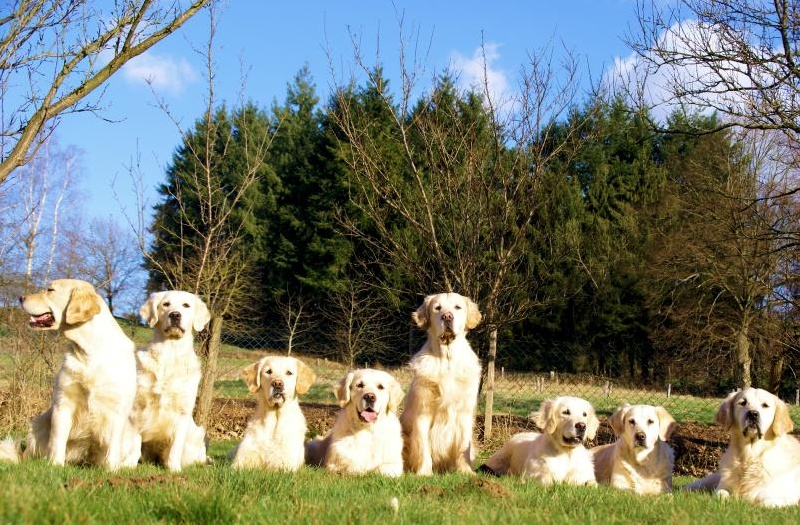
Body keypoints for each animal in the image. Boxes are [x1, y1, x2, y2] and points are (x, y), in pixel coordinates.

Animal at [18, 279, 140, 468]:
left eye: (50, 290)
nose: (20, 298)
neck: (90, 350)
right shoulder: (63, 402)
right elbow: (57, 440)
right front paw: (55, 466)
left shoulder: (117, 408)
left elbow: (113, 446)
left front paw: (111, 470)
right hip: (38, 422)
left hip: (135, 436)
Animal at [133, 290, 210, 471]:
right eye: (166, 304)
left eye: (186, 305)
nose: (175, 315)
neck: (170, 354)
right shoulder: (138, 406)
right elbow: (133, 442)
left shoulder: (182, 412)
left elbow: (175, 447)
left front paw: (174, 470)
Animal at [400, 292, 482, 475]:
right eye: (437, 308)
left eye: (458, 307)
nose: (447, 316)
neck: (447, 359)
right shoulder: (423, 412)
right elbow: (423, 446)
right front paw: (424, 473)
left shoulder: (465, 413)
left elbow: (464, 447)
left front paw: (466, 471)